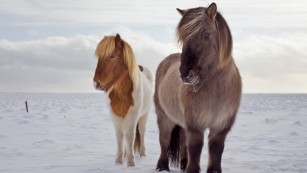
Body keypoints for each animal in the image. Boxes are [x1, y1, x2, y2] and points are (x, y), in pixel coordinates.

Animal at [92, 33, 153, 166]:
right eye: (99, 57)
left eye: (112, 56)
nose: (96, 84)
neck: (122, 93)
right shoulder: (115, 115)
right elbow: (120, 136)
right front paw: (119, 160)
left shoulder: (133, 115)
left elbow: (130, 136)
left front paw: (131, 162)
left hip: (144, 114)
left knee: (142, 131)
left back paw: (142, 154)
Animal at [156, 3, 243, 173]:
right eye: (183, 37)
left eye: (206, 34)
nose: (185, 73)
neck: (217, 90)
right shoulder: (195, 125)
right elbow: (195, 148)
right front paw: (192, 169)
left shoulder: (221, 126)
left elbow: (216, 149)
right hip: (164, 117)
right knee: (164, 141)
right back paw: (162, 167)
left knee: (183, 141)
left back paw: (183, 164)